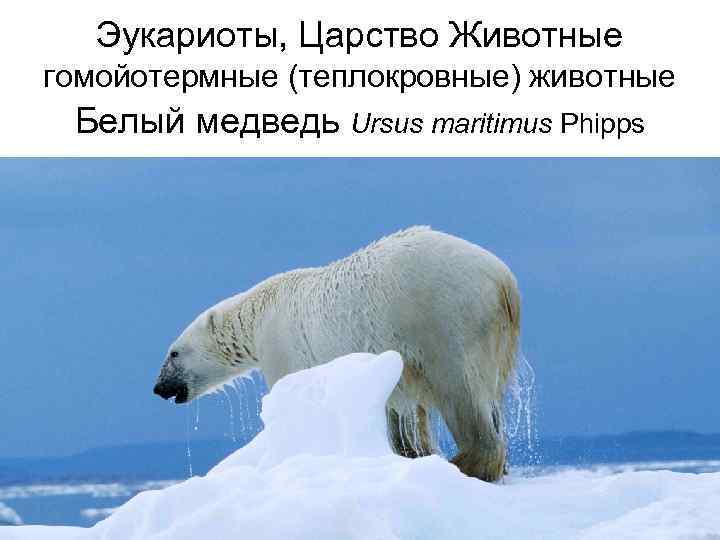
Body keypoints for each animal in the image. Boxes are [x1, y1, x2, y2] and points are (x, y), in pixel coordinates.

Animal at [153, 226, 521, 482]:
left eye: (173, 353)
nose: (158, 388)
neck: (257, 315)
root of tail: (503, 280)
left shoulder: (280, 345)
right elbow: (402, 411)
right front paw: (410, 455)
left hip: (443, 320)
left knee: (461, 391)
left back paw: (466, 463)